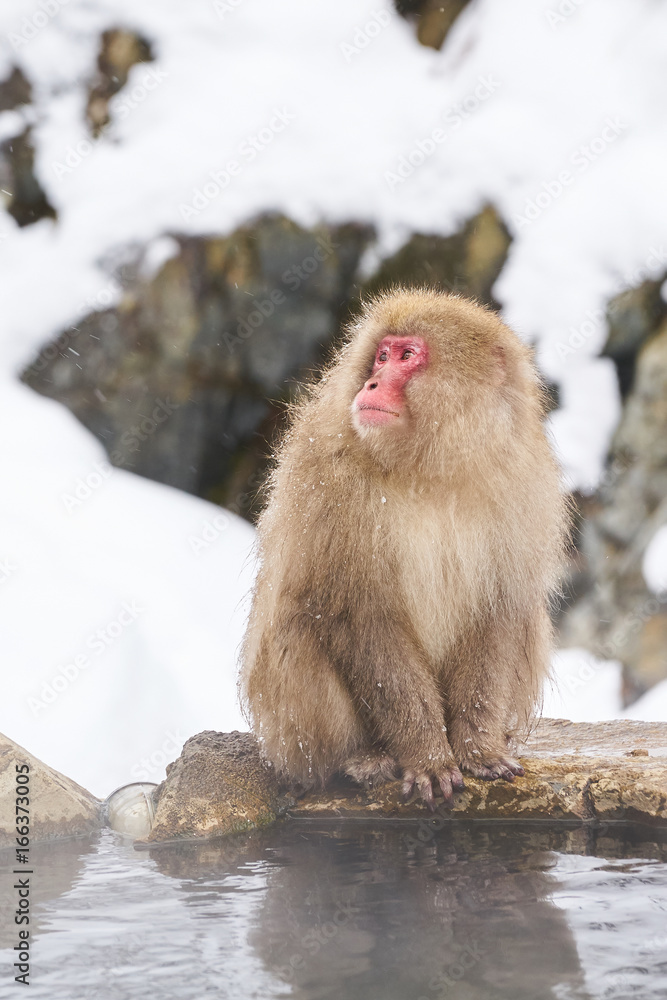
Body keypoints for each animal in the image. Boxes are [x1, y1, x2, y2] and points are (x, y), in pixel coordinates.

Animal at [239, 288, 570, 810]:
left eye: (407, 355)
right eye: (381, 355)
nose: (372, 382)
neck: (429, 467)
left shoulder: (523, 481)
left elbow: (499, 608)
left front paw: (478, 748)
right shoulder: (329, 478)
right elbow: (360, 615)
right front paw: (428, 756)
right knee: (298, 624)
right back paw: (366, 758)